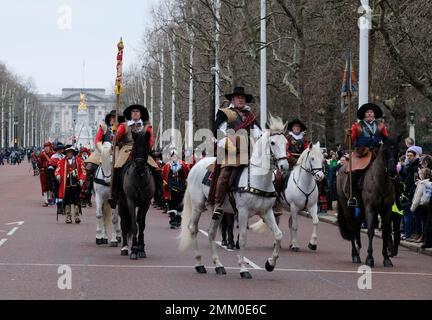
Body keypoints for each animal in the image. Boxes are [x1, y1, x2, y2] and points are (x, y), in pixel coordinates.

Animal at [179, 116, 290, 278]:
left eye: (286, 143)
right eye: (273, 143)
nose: (284, 167)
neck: (257, 179)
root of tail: (195, 166)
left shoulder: (266, 212)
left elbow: (278, 235)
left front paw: (270, 263)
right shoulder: (243, 212)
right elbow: (242, 239)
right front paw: (243, 269)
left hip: (218, 210)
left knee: (211, 233)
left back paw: (218, 265)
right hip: (198, 206)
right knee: (193, 228)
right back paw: (199, 264)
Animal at [338, 136, 402, 268]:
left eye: (398, 151)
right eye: (384, 151)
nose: (392, 171)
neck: (381, 182)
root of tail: (342, 167)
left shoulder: (386, 210)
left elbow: (386, 232)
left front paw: (386, 258)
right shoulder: (371, 209)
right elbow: (371, 231)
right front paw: (369, 258)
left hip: (362, 209)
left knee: (357, 224)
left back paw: (358, 249)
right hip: (347, 207)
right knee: (351, 226)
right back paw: (355, 255)